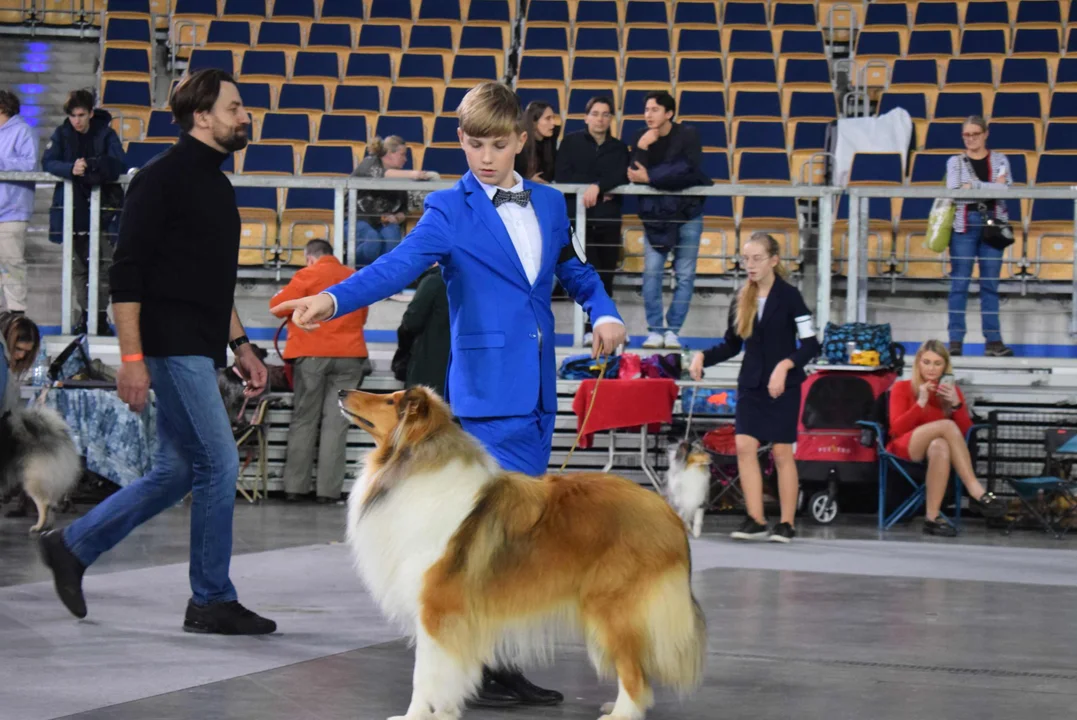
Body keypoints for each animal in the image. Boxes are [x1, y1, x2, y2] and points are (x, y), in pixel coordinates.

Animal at [340, 387, 702, 718]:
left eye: (390, 400)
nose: (343, 392)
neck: (413, 467)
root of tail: (668, 514)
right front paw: (443, 711)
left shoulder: (436, 610)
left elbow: (424, 675)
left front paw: (415, 715)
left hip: (614, 608)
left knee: (634, 672)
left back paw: (621, 714)